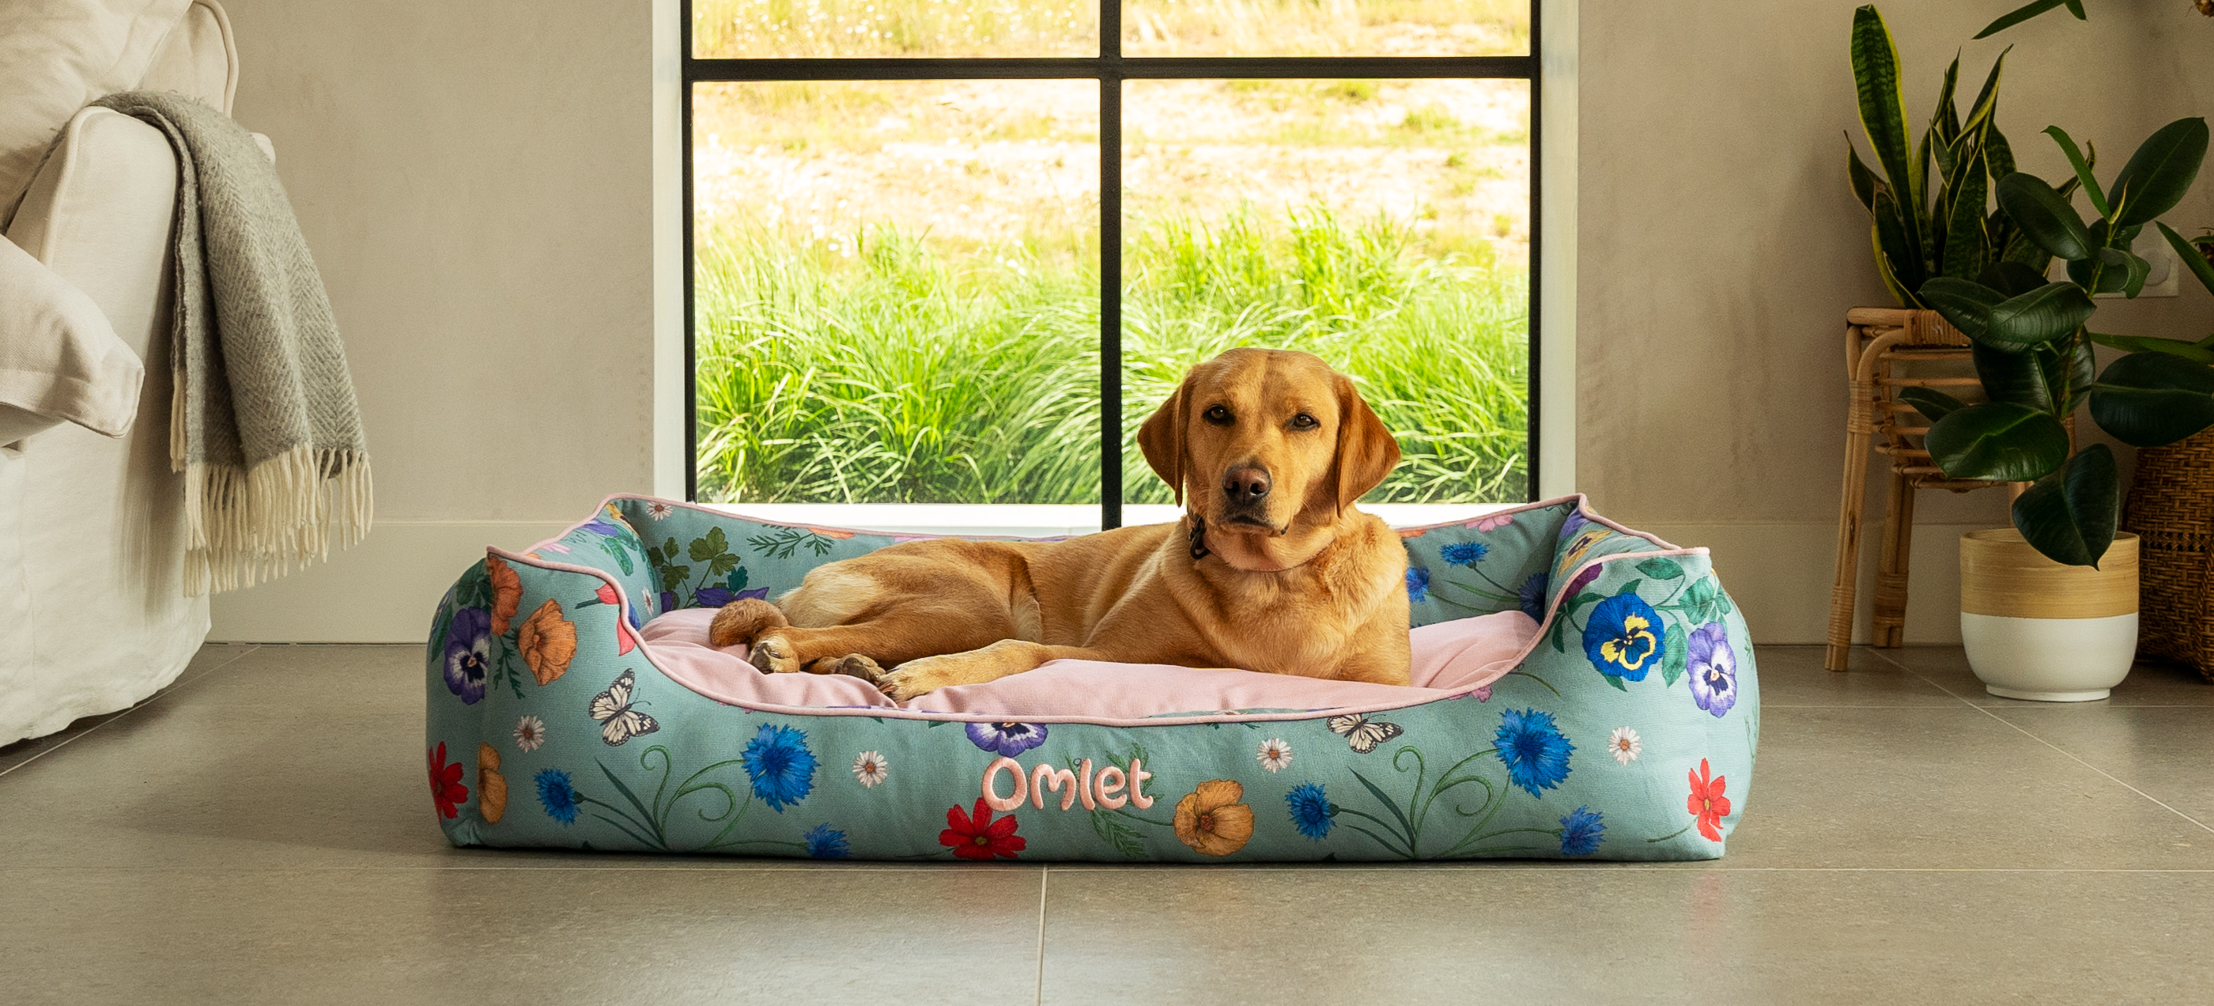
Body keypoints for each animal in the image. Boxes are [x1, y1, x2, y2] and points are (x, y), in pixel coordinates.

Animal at [708, 345, 1408, 700]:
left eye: (1304, 421)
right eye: (1216, 413)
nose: (1245, 484)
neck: (1269, 581)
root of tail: (806, 582)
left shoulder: (1383, 685)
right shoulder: (1103, 653)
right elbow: (1019, 652)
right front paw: (932, 676)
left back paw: (851, 668)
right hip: (969, 606)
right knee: (804, 633)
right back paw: (801, 653)